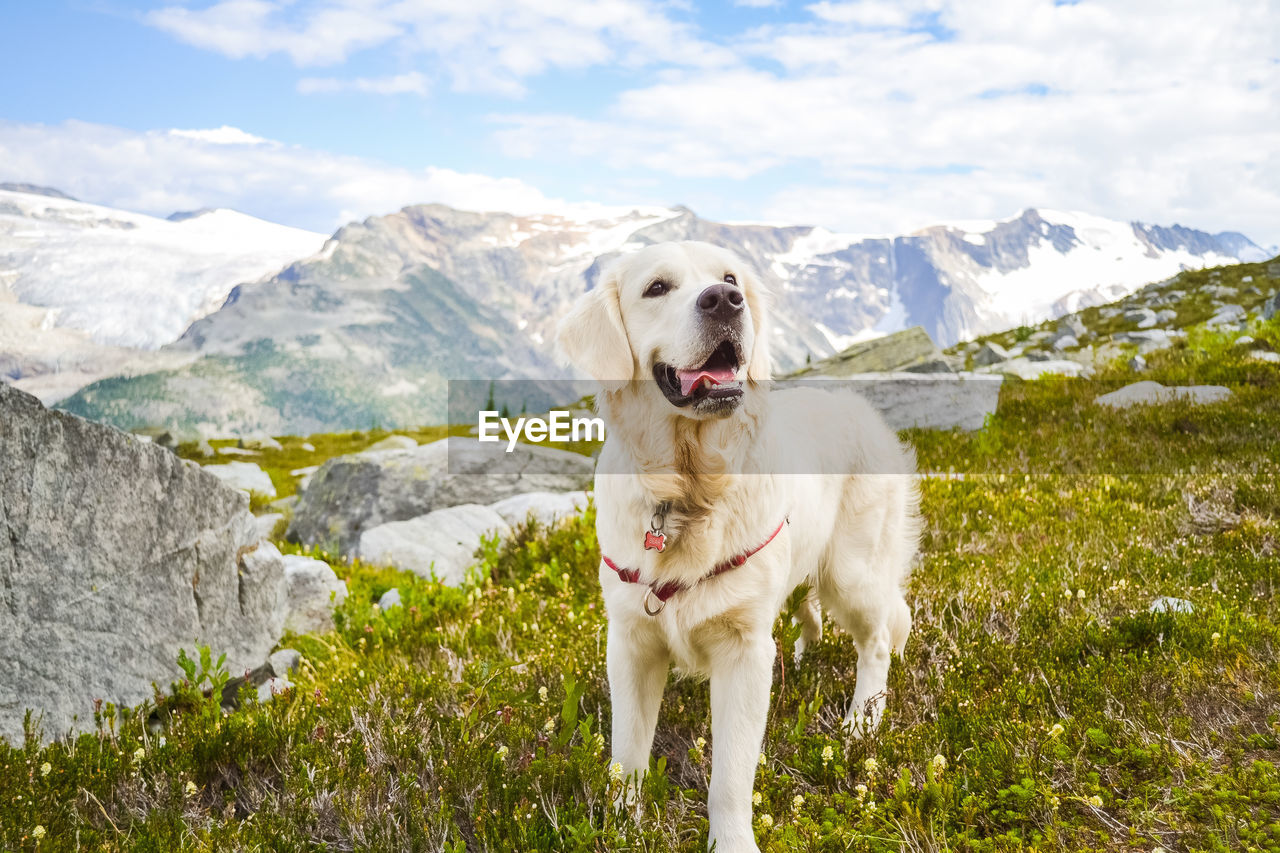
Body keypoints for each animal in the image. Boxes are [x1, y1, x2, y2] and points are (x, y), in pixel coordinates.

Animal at [555, 240, 916, 850]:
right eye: (656, 287)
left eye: (729, 277)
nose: (725, 299)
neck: (688, 491)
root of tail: (861, 408)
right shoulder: (631, 643)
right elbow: (627, 754)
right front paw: (623, 825)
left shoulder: (743, 651)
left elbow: (729, 775)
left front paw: (732, 842)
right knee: (810, 615)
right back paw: (806, 655)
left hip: (852, 574)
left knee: (880, 640)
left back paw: (861, 721)